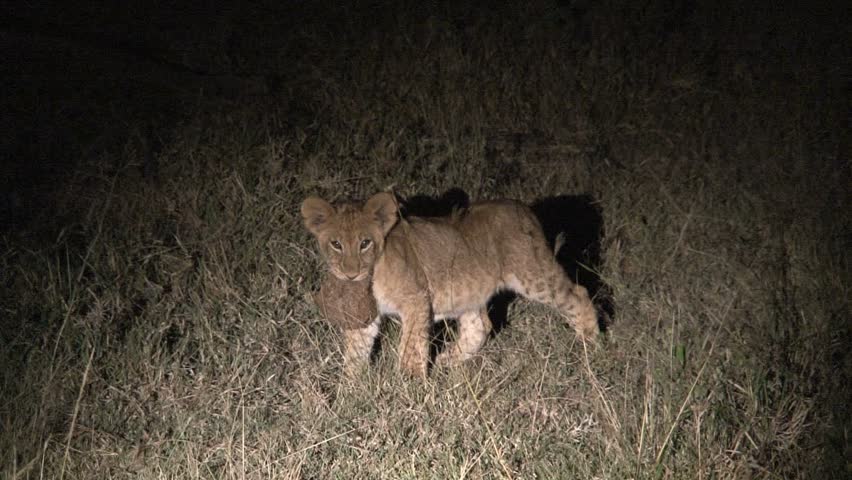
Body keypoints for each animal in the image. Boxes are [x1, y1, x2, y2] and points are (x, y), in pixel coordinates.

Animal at [301, 192, 599, 377]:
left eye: (365, 243)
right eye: (336, 244)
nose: (350, 274)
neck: (371, 273)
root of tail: (524, 209)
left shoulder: (416, 300)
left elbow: (410, 348)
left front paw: (408, 389)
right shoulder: (367, 318)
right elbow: (356, 353)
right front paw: (351, 393)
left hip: (532, 275)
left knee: (579, 294)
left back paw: (591, 348)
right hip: (468, 291)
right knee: (480, 326)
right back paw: (447, 360)